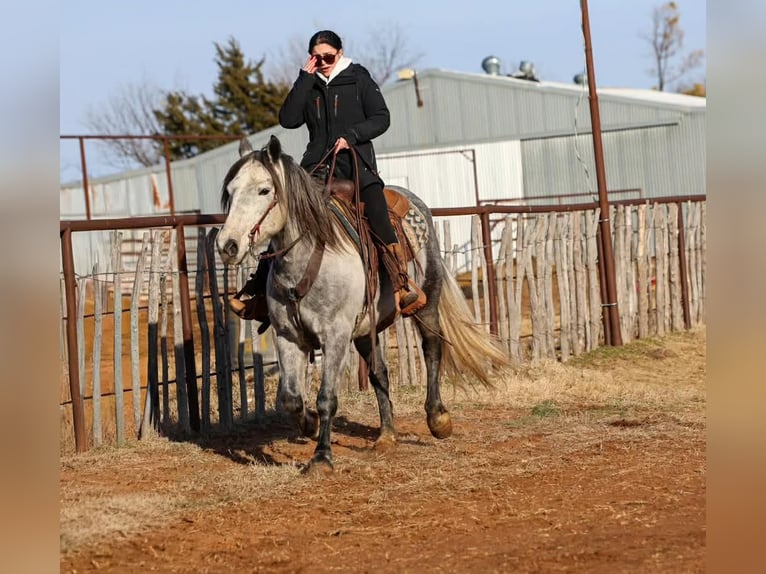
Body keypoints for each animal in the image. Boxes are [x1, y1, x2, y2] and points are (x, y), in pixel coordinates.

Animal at [216, 135, 510, 473]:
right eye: (230, 191)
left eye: (264, 190)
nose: (227, 245)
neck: (308, 259)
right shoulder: (288, 336)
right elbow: (291, 398)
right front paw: (309, 425)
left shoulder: (335, 336)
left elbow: (326, 398)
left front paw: (322, 457)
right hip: (365, 329)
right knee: (379, 372)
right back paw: (387, 435)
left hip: (426, 302)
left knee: (432, 349)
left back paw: (438, 419)